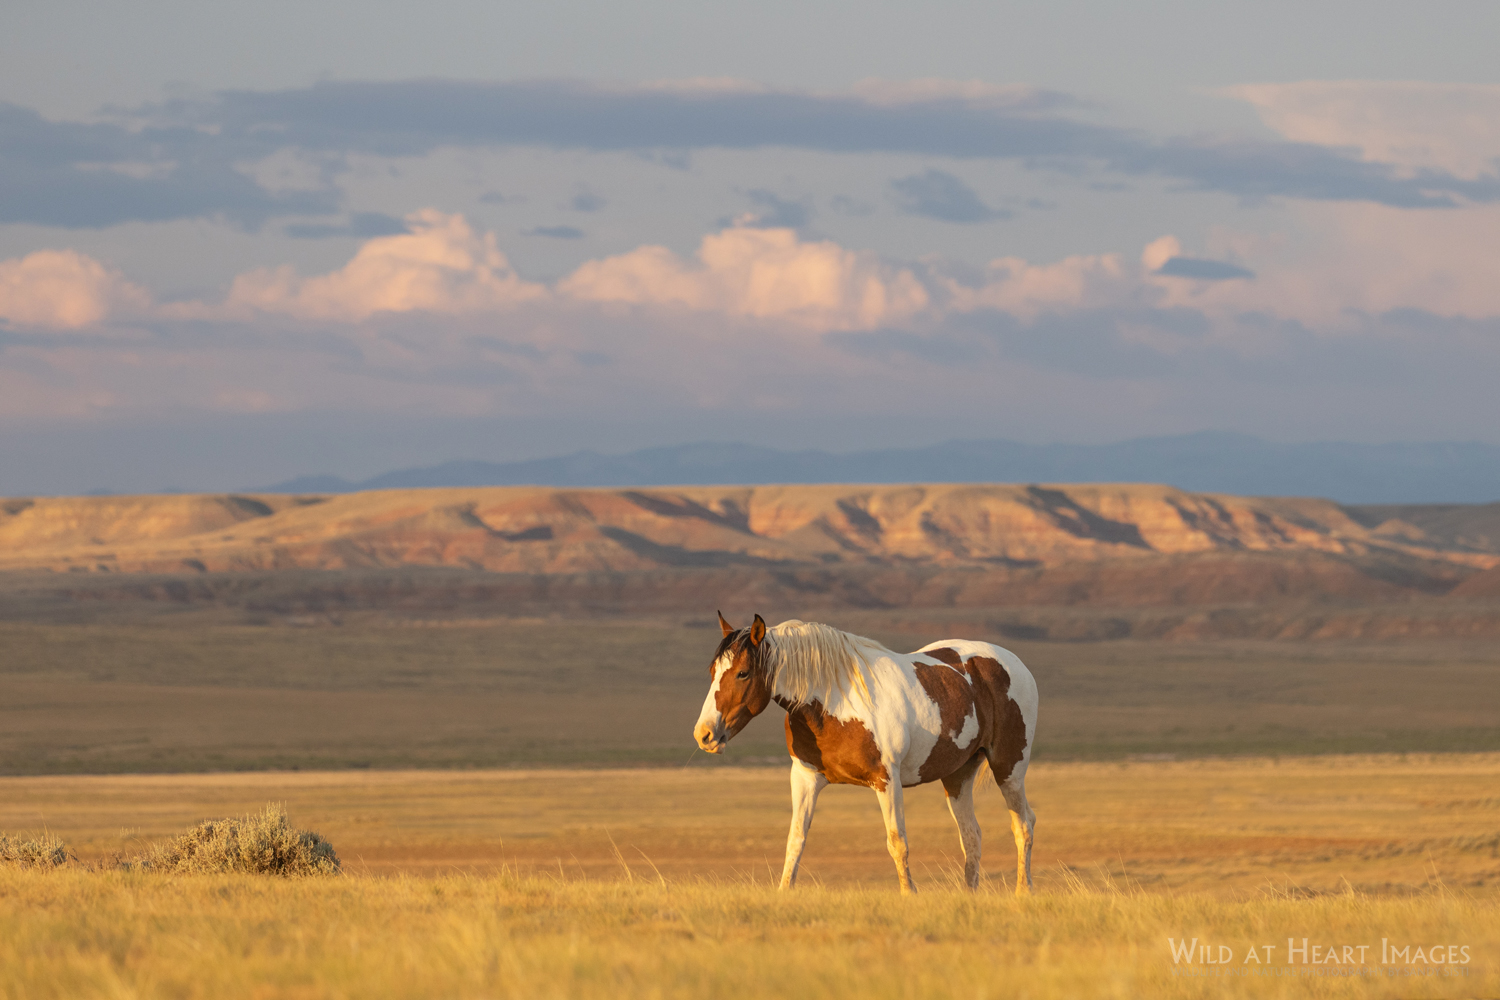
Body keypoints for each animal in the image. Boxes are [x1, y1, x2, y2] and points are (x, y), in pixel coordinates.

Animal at [693, 613, 1038, 895]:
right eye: (712, 671)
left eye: (743, 673)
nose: (704, 734)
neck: (836, 702)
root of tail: (1015, 663)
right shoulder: (805, 777)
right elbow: (796, 840)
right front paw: (783, 892)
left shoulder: (886, 780)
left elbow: (897, 842)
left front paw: (908, 895)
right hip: (958, 775)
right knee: (971, 835)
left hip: (1009, 768)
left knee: (1023, 824)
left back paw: (1023, 891)